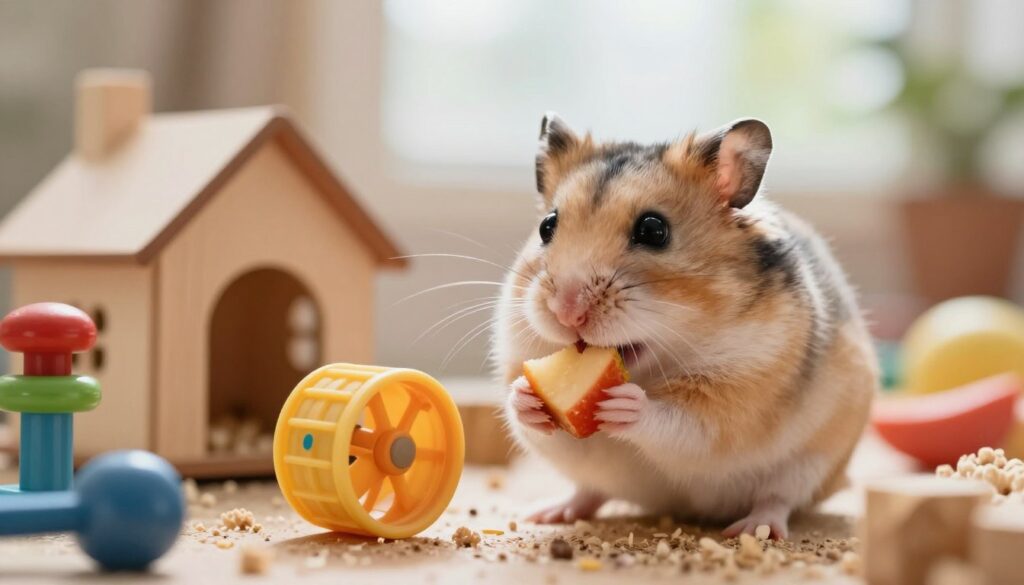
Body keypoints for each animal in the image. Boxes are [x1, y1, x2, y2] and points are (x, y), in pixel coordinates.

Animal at [493, 113, 877, 539]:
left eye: (653, 230)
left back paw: (752, 529)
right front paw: (525, 395)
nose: (566, 311)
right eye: (547, 226)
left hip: (812, 464)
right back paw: (548, 512)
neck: (654, 368)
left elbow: (684, 423)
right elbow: (533, 420)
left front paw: (625, 403)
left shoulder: (740, 394)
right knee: (590, 492)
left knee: (779, 499)